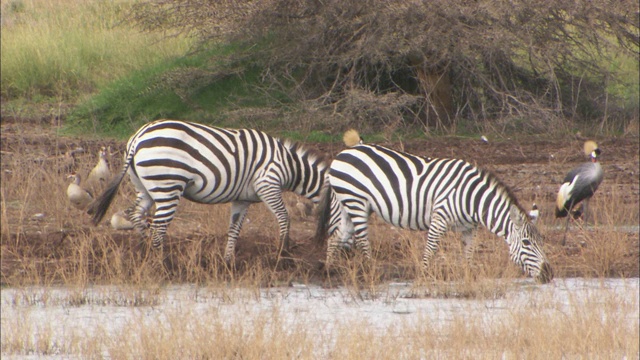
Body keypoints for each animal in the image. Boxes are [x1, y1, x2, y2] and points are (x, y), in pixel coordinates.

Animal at [87, 119, 328, 262]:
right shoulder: (267, 184)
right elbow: (284, 217)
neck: (289, 165)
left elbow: (234, 229)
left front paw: (228, 261)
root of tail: (139, 136)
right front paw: (283, 253)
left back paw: (143, 252)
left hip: (144, 186)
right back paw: (162, 262)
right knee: (158, 226)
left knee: (136, 214)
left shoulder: (242, 199)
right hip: (167, 185)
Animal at [318, 129, 552, 284]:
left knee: (336, 236)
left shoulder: (470, 227)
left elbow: (469, 253)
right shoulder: (439, 217)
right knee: (361, 240)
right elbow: (430, 249)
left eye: (541, 241)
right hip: (356, 202)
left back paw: (330, 273)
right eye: (526, 243)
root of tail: (345, 152)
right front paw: (423, 277)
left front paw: (469, 277)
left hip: (347, 203)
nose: (549, 274)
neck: (473, 199)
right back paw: (369, 272)